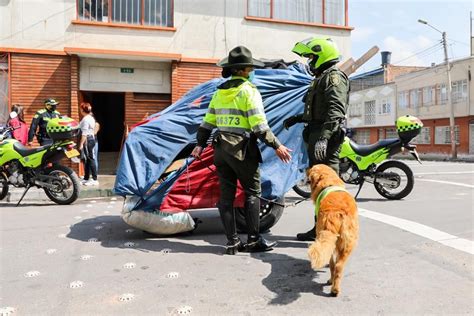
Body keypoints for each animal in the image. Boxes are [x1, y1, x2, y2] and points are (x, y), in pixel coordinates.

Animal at [306, 164, 358, 296]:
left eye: (312, 168)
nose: (305, 168)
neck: (329, 183)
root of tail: (335, 213)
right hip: (348, 243)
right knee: (338, 265)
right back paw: (335, 288)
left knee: (334, 265)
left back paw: (332, 284)